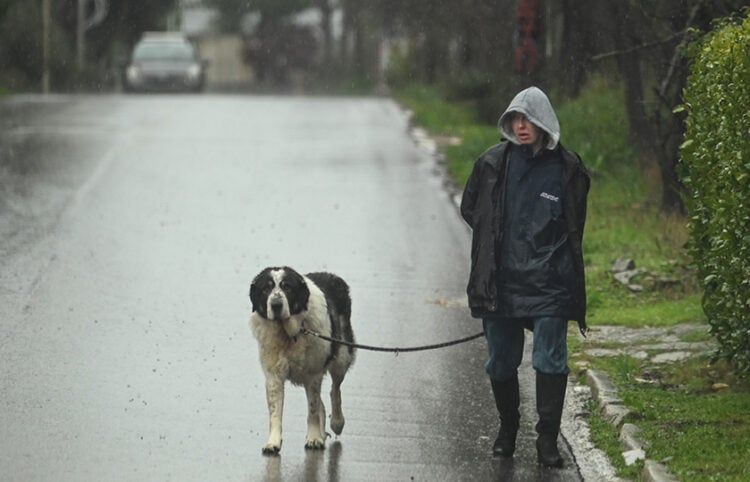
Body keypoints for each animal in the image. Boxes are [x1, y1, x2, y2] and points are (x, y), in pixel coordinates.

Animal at [250, 266, 358, 454]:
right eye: (266, 289)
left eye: (287, 287)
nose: (276, 304)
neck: (289, 334)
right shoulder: (273, 375)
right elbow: (275, 411)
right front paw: (273, 442)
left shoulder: (313, 374)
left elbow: (313, 408)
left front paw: (314, 438)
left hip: (341, 358)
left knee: (335, 390)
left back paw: (337, 422)